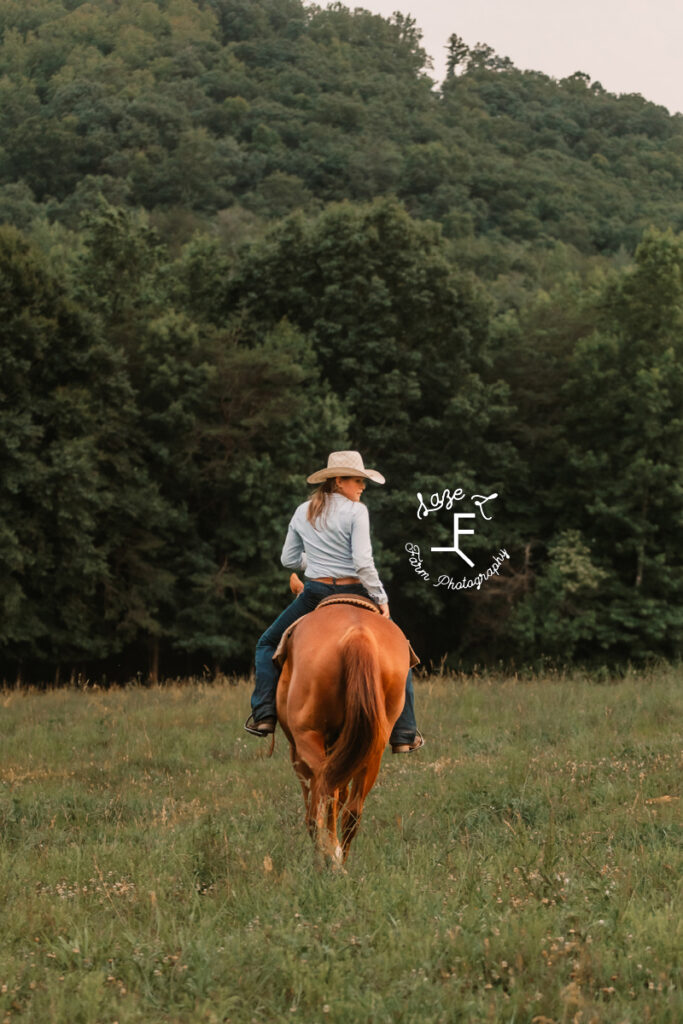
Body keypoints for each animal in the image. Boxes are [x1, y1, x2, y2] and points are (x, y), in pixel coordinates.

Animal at [276, 598, 411, 864]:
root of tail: (358, 635)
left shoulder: (298, 754)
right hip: (372, 750)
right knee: (352, 808)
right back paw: (340, 858)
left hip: (309, 738)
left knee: (323, 798)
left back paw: (329, 858)